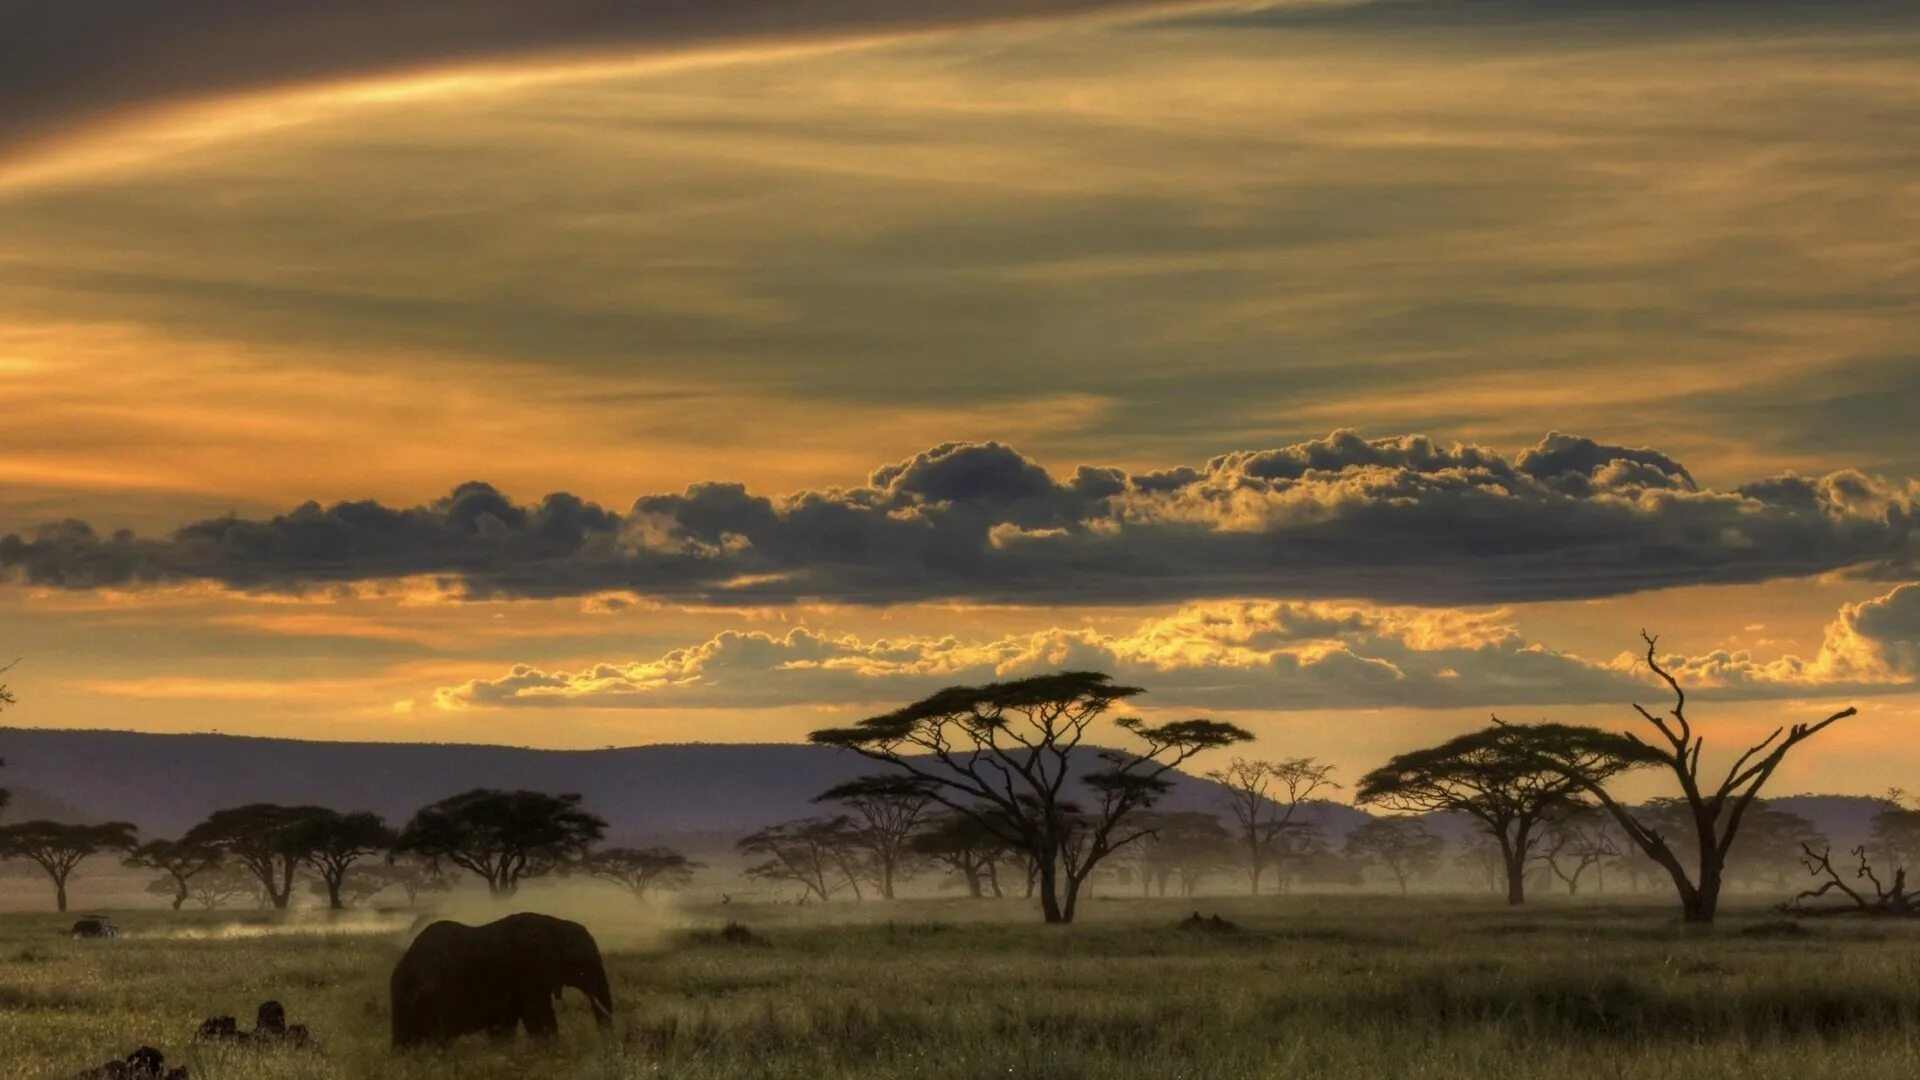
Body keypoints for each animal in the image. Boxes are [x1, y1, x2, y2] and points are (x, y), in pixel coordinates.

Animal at [384, 907, 606, 1045]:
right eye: (581, 969)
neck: (555, 925)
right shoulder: (530, 970)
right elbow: (539, 1019)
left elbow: (505, 1025)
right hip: (435, 994)